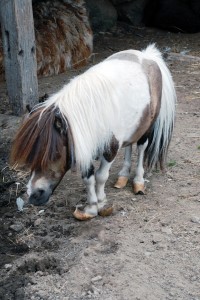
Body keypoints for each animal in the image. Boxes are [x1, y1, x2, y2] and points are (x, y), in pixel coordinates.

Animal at [10, 44, 177, 220]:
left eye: (55, 154)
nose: (34, 196)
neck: (93, 114)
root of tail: (147, 56)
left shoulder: (110, 149)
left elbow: (100, 176)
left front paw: (101, 204)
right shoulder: (84, 147)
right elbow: (88, 178)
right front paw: (90, 208)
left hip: (147, 129)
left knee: (141, 148)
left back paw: (138, 182)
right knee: (129, 146)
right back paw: (123, 177)